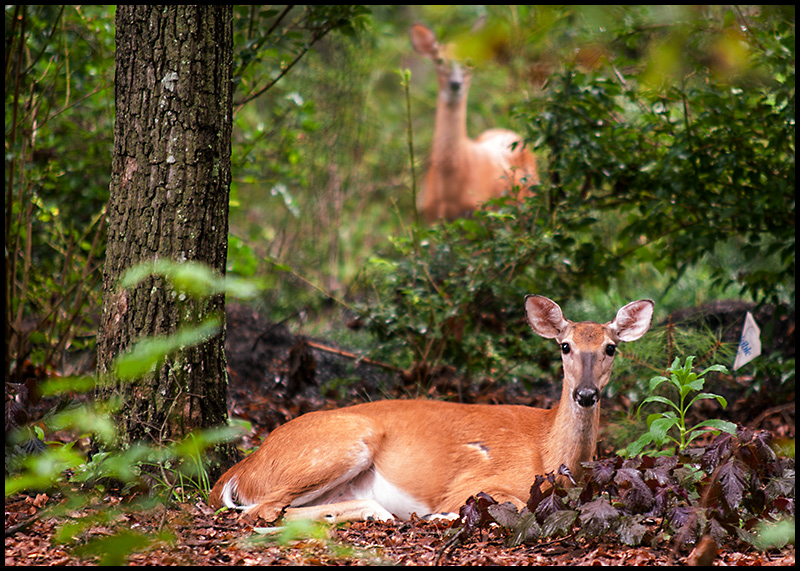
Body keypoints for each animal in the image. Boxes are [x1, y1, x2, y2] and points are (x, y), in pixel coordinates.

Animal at [209, 298, 652, 524]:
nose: (586, 394)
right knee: (264, 511)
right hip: (341, 444)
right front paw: (444, 515)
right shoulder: (477, 481)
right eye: (565, 346)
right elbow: (509, 503)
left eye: (610, 348)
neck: (549, 452)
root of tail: (242, 467)